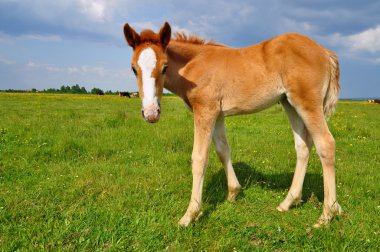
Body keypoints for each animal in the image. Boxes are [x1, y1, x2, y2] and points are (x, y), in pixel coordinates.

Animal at [123, 21, 342, 227]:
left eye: (165, 67)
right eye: (133, 69)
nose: (151, 113)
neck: (195, 65)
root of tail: (325, 52)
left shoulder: (205, 110)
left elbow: (199, 158)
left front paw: (190, 215)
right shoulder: (217, 114)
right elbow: (222, 150)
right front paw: (233, 193)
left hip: (307, 103)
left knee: (325, 143)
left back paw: (327, 214)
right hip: (289, 103)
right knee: (303, 146)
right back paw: (288, 202)